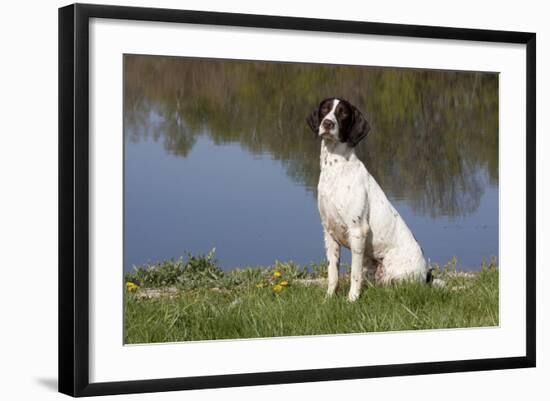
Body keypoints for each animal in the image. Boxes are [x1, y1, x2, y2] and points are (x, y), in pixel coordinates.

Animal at [306, 97, 432, 300]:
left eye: (343, 113)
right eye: (325, 109)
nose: (327, 123)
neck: (336, 169)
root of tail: (426, 274)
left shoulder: (358, 231)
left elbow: (354, 275)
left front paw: (351, 300)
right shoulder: (329, 233)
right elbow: (333, 273)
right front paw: (329, 298)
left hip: (396, 275)